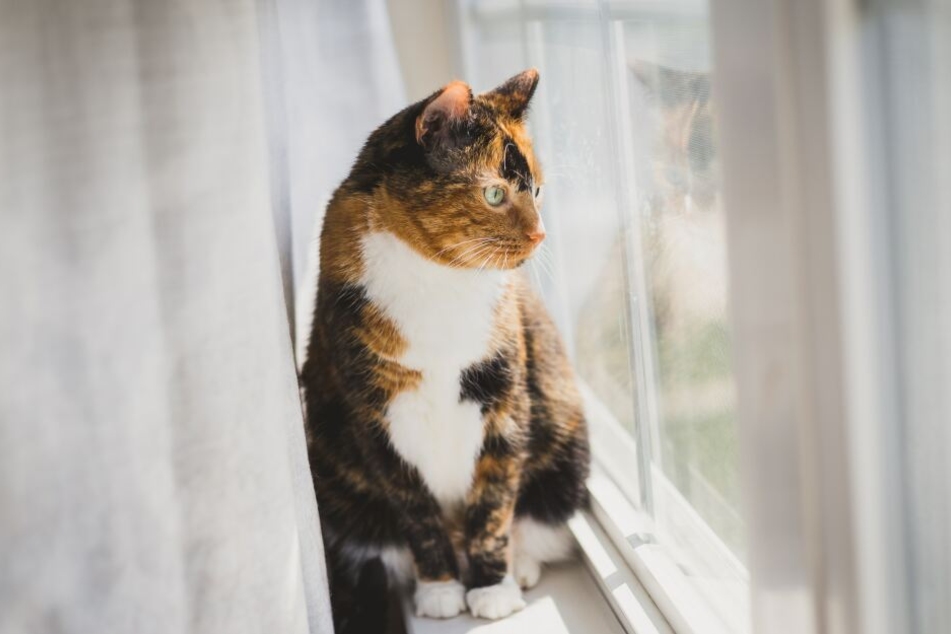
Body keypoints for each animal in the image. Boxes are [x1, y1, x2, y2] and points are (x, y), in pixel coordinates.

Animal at [302, 70, 592, 632]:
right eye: (495, 193)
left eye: (537, 189)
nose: (541, 233)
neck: (439, 282)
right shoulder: (373, 420)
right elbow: (417, 512)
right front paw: (439, 589)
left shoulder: (505, 401)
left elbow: (493, 505)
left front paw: (492, 589)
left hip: (565, 450)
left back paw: (519, 567)